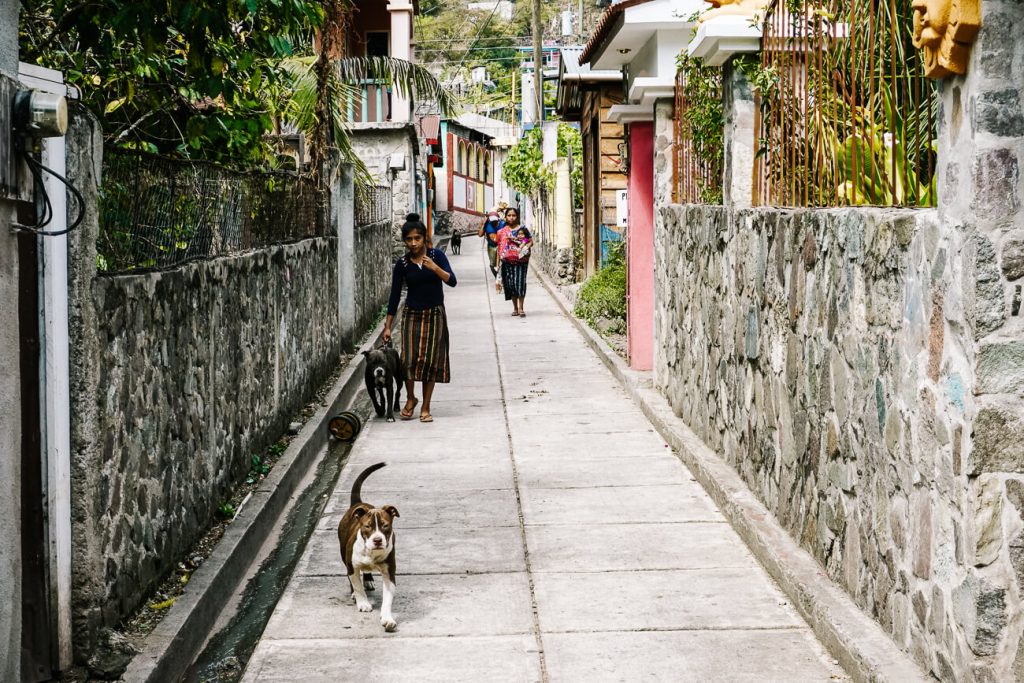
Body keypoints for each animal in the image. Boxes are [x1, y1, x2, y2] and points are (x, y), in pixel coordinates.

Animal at [335, 462, 399, 634]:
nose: (377, 540)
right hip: (344, 555)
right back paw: (354, 593)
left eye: (385, 526)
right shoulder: (352, 566)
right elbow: (357, 585)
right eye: (367, 526)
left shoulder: (389, 573)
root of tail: (358, 503)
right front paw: (363, 602)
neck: (371, 553)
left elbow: (388, 598)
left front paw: (387, 618)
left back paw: (368, 580)